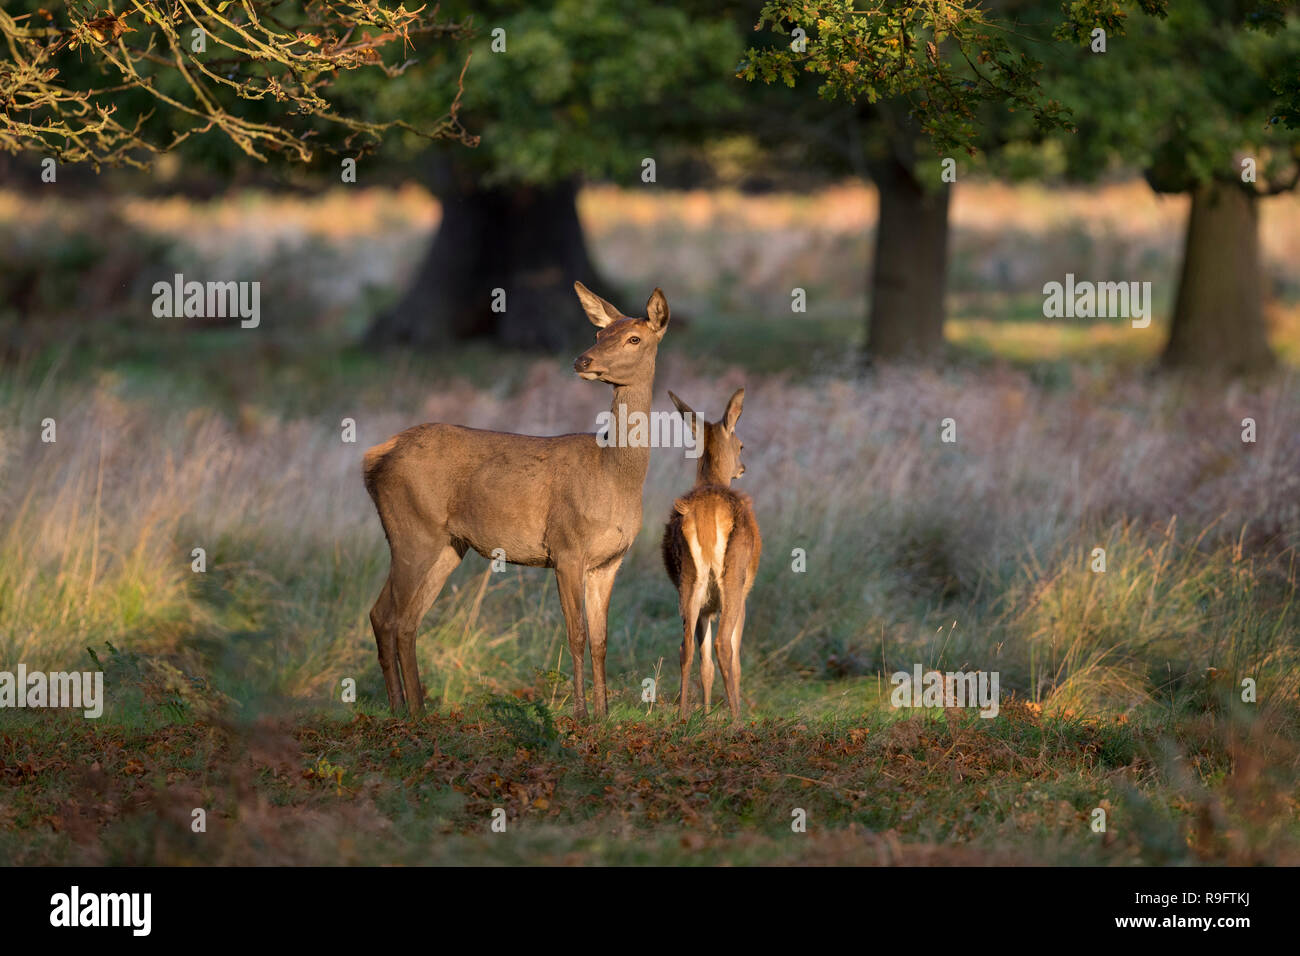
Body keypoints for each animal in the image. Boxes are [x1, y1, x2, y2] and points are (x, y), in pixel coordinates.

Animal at [366, 282, 670, 717]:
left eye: (634, 338)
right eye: (598, 333)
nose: (583, 359)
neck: (614, 477)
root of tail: (374, 457)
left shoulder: (608, 561)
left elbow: (600, 640)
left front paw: (603, 714)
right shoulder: (566, 547)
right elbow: (576, 633)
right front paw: (580, 715)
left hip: (447, 545)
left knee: (404, 620)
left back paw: (417, 711)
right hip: (411, 530)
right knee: (385, 615)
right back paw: (401, 711)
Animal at [660, 387, 759, 717]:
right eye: (741, 444)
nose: (742, 468)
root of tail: (707, 515)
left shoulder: (706, 607)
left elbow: (705, 666)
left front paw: (704, 714)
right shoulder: (744, 595)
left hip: (691, 580)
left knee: (686, 646)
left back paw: (682, 716)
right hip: (733, 578)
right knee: (724, 646)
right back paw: (737, 719)